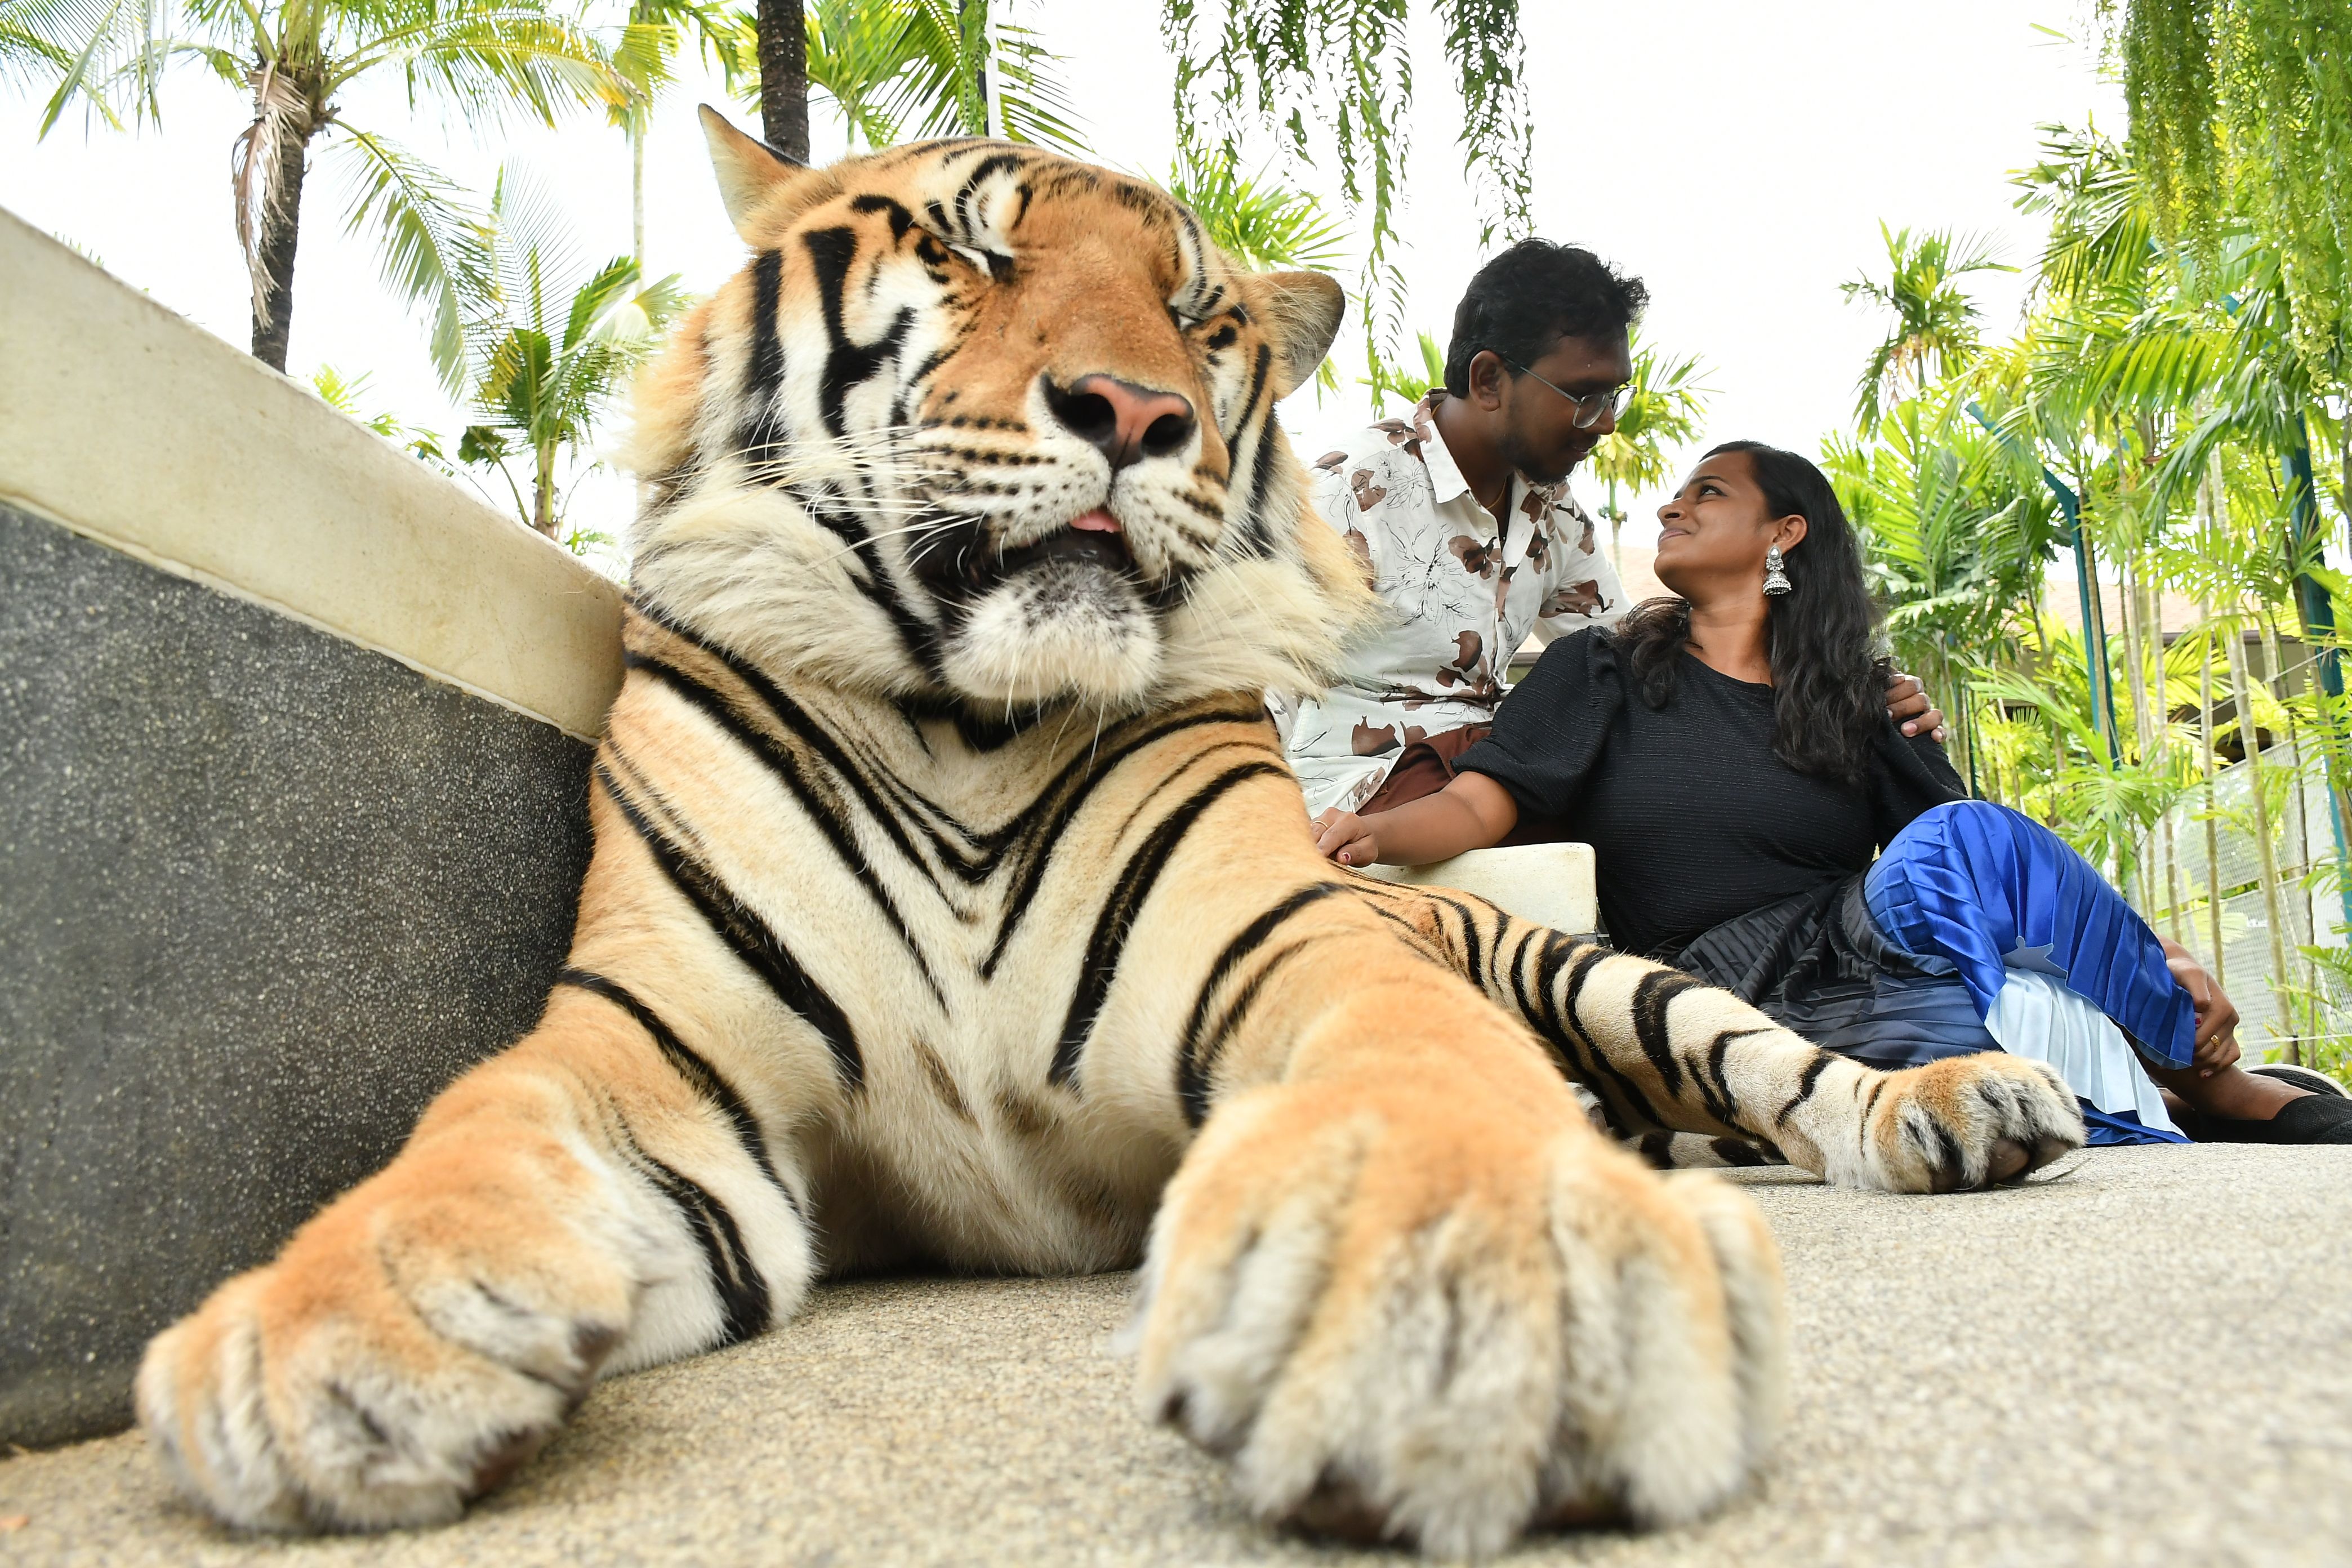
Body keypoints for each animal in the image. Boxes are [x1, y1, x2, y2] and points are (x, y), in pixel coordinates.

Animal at [133, 109, 2085, 1559]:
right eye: (974, 250)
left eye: (1199, 318)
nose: (1137, 413)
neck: (964, 723)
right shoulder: (657, 1037)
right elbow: (470, 1127)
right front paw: (333, 1331)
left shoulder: (1285, 938)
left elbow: (1423, 1066)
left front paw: (1469, 1294)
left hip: (1600, 974)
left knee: (1771, 1063)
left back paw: (1964, 1105)